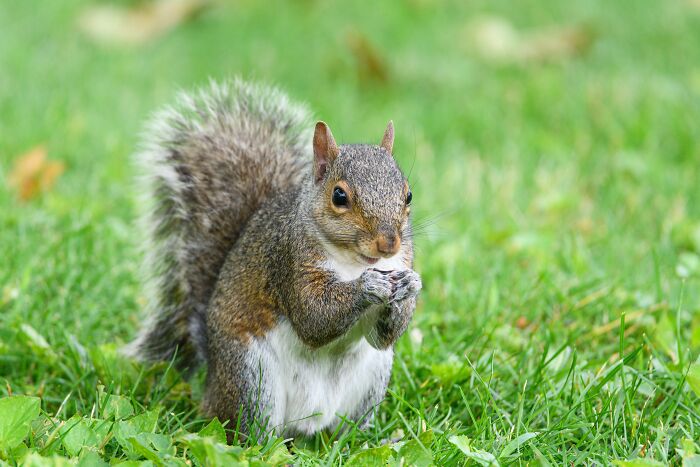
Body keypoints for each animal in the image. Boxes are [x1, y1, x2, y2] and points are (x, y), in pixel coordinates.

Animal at [126, 79, 422, 438]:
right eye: (339, 196)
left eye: (408, 195)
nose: (388, 243)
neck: (355, 261)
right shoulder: (288, 259)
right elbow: (313, 318)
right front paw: (368, 286)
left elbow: (383, 337)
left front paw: (411, 285)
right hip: (251, 377)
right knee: (250, 431)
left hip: (372, 379)